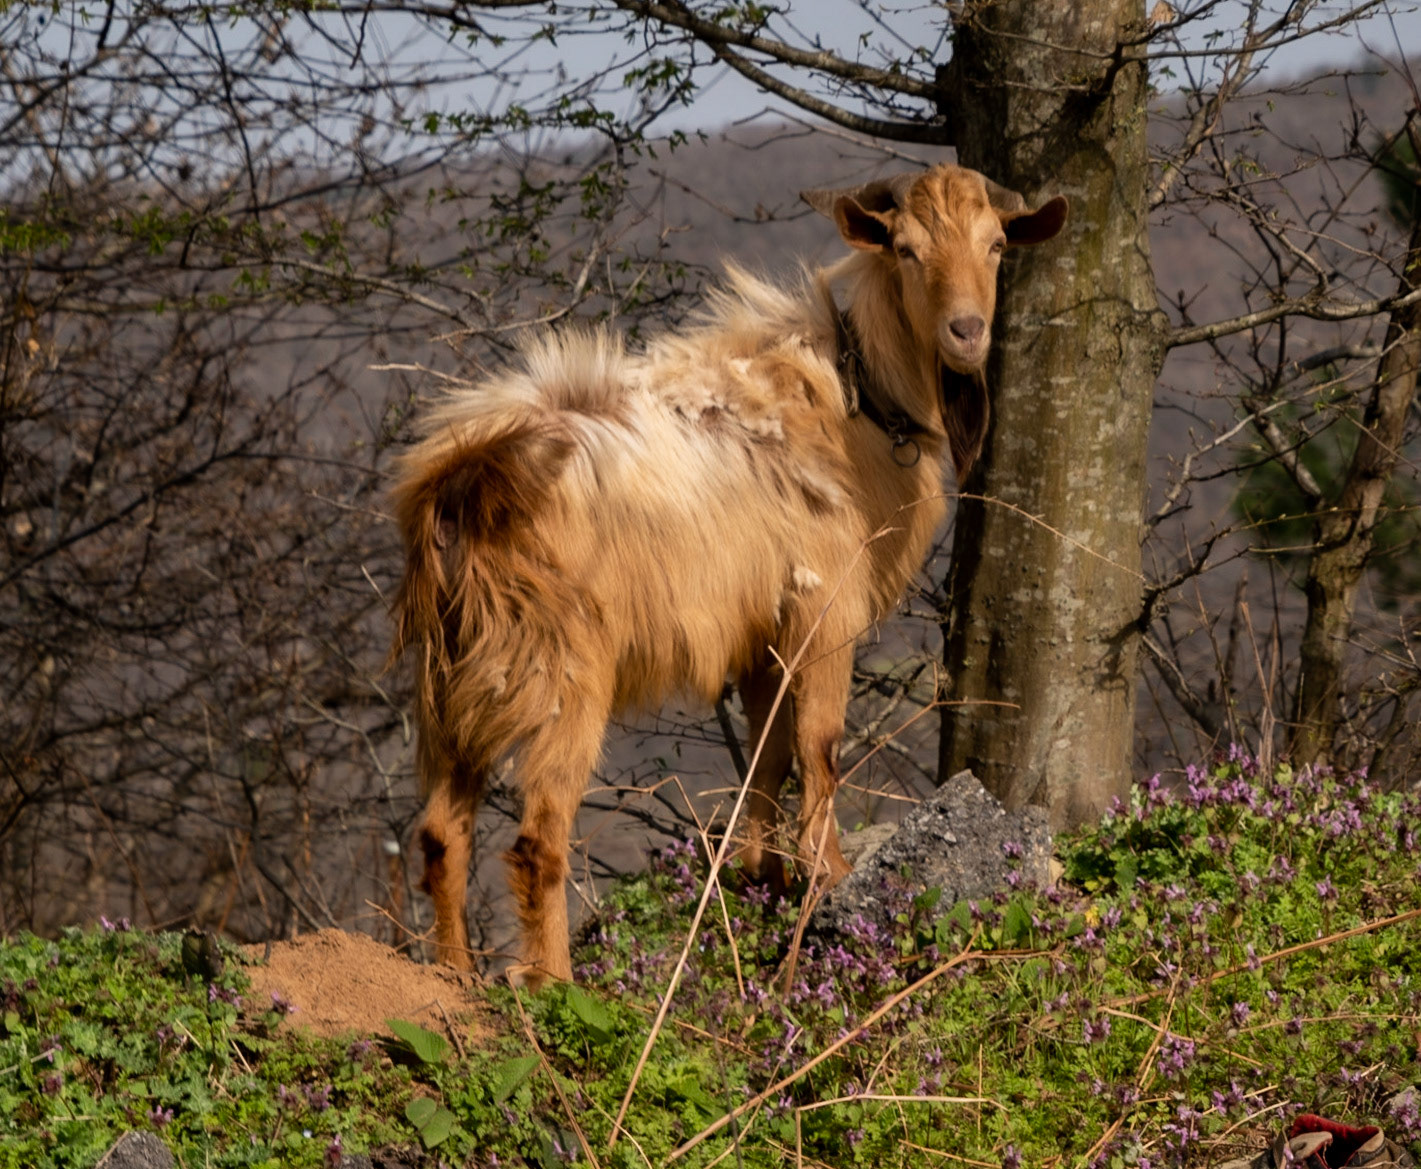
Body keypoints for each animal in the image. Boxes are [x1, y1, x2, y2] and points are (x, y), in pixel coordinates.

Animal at [390, 164, 1067, 986]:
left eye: (997, 244)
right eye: (905, 249)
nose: (965, 333)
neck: (858, 403)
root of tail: (463, 482)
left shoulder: (760, 639)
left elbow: (767, 756)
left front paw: (760, 880)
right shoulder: (821, 609)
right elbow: (820, 743)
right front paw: (829, 877)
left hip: (452, 681)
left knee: (439, 833)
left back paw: (452, 977)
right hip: (561, 677)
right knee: (536, 838)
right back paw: (553, 982)